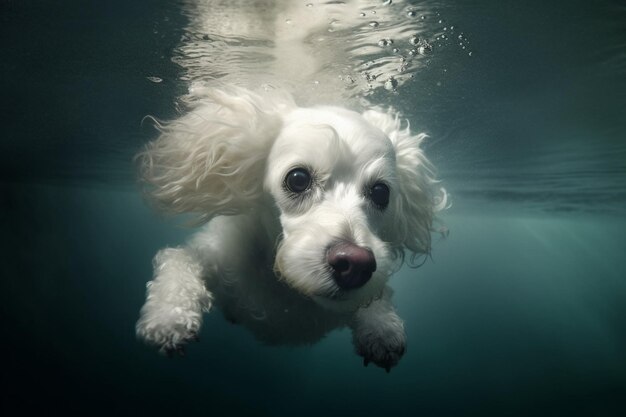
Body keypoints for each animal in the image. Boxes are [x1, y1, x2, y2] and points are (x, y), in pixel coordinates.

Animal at [135, 86, 444, 368]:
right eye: (298, 179)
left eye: (381, 193)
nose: (355, 265)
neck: (287, 284)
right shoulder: (217, 254)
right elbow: (178, 258)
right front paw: (169, 315)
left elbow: (379, 296)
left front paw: (382, 329)